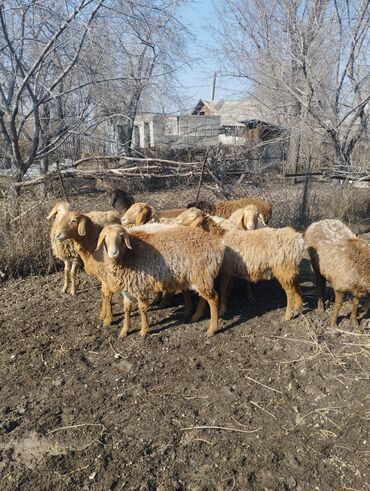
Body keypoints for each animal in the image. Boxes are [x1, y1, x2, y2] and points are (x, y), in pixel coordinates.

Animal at [95, 225, 224, 336]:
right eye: (105, 237)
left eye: (121, 237)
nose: (113, 253)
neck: (128, 254)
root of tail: (218, 245)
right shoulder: (127, 288)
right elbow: (126, 309)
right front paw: (124, 331)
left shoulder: (140, 285)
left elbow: (142, 309)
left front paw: (144, 331)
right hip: (201, 278)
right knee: (204, 298)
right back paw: (197, 316)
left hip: (202, 274)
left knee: (213, 299)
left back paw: (212, 329)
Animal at [176, 209, 304, 320]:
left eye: (190, 217)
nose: (176, 224)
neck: (220, 236)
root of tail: (297, 239)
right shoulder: (228, 271)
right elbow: (225, 289)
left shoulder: (226, 270)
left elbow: (222, 290)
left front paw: (222, 310)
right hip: (291, 267)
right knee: (296, 285)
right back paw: (298, 307)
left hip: (283, 268)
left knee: (290, 291)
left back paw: (288, 315)